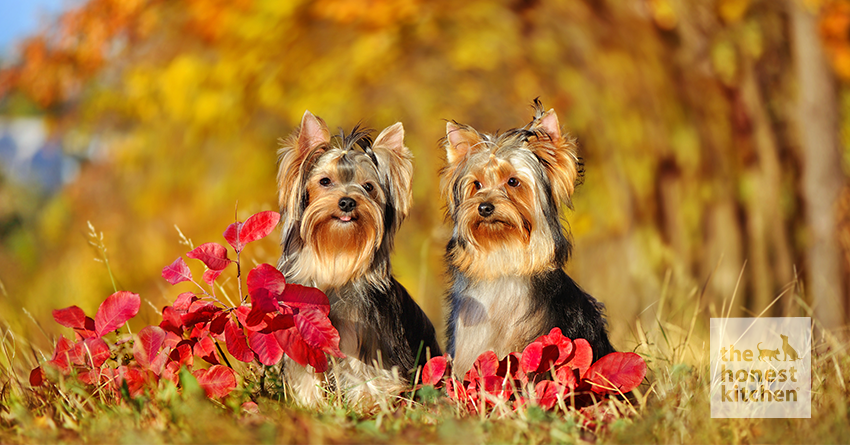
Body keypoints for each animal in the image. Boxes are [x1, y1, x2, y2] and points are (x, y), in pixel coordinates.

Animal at [276, 112, 440, 406]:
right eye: (325, 181)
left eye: (368, 187)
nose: (347, 202)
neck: (337, 254)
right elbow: (306, 377)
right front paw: (310, 404)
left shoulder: (366, 339)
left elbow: (366, 376)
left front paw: (368, 403)